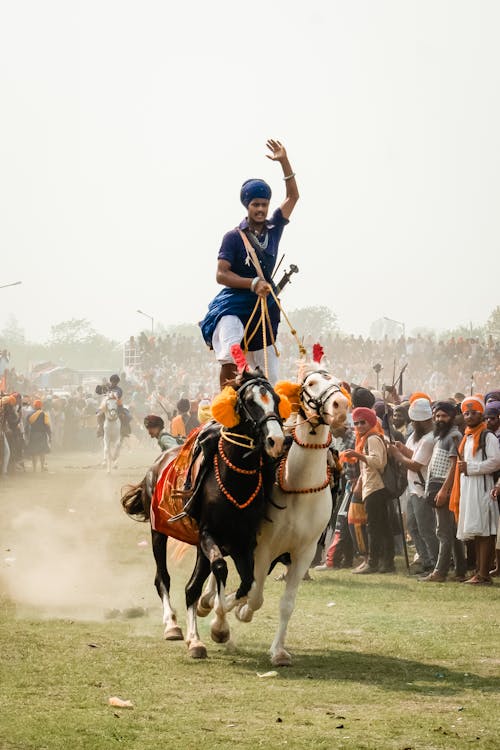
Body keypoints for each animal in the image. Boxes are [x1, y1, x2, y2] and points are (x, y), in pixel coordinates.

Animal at [121, 368, 286, 656]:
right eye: (250, 401)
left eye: (276, 399)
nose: (276, 441)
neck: (235, 480)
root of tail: (156, 464)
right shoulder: (208, 534)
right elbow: (219, 568)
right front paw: (217, 627)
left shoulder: (242, 540)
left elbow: (247, 582)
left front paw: (215, 628)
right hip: (158, 531)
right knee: (163, 578)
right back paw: (172, 625)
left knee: (192, 586)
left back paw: (195, 635)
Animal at [226, 368, 348, 668]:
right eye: (312, 383)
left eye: (338, 383)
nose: (340, 406)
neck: (299, 486)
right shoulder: (262, 549)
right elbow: (255, 595)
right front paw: (238, 610)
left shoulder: (304, 554)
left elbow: (286, 604)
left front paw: (279, 652)